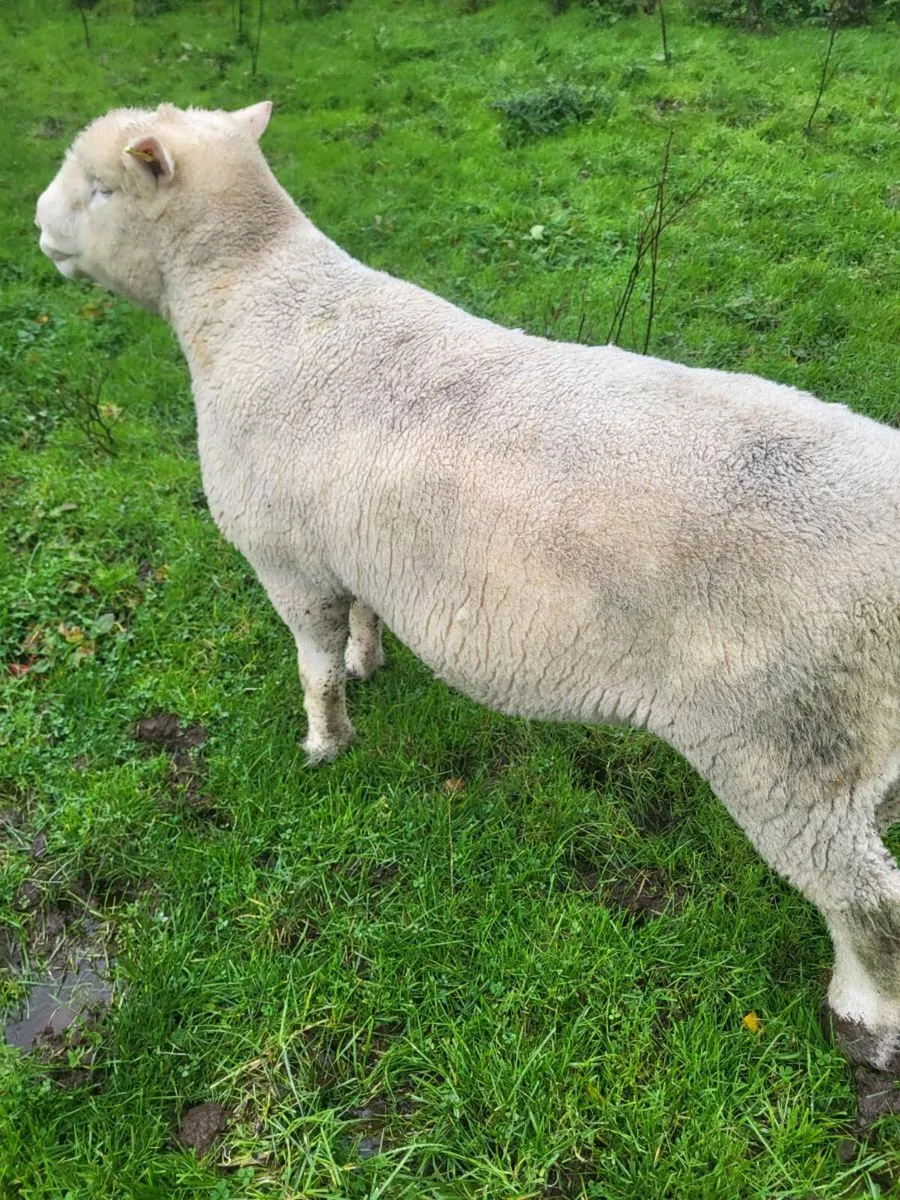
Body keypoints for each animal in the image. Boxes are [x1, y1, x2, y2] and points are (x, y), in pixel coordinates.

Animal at [36, 102, 900, 1078]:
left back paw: (865, 1023)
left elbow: (312, 664)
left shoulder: (288, 558)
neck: (254, 297)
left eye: (100, 190)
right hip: (852, 744)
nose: (35, 224)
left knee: (866, 902)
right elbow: (361, 618)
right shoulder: (351, 544)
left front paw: (325, 743)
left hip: (790, 748)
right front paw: (370, 661)